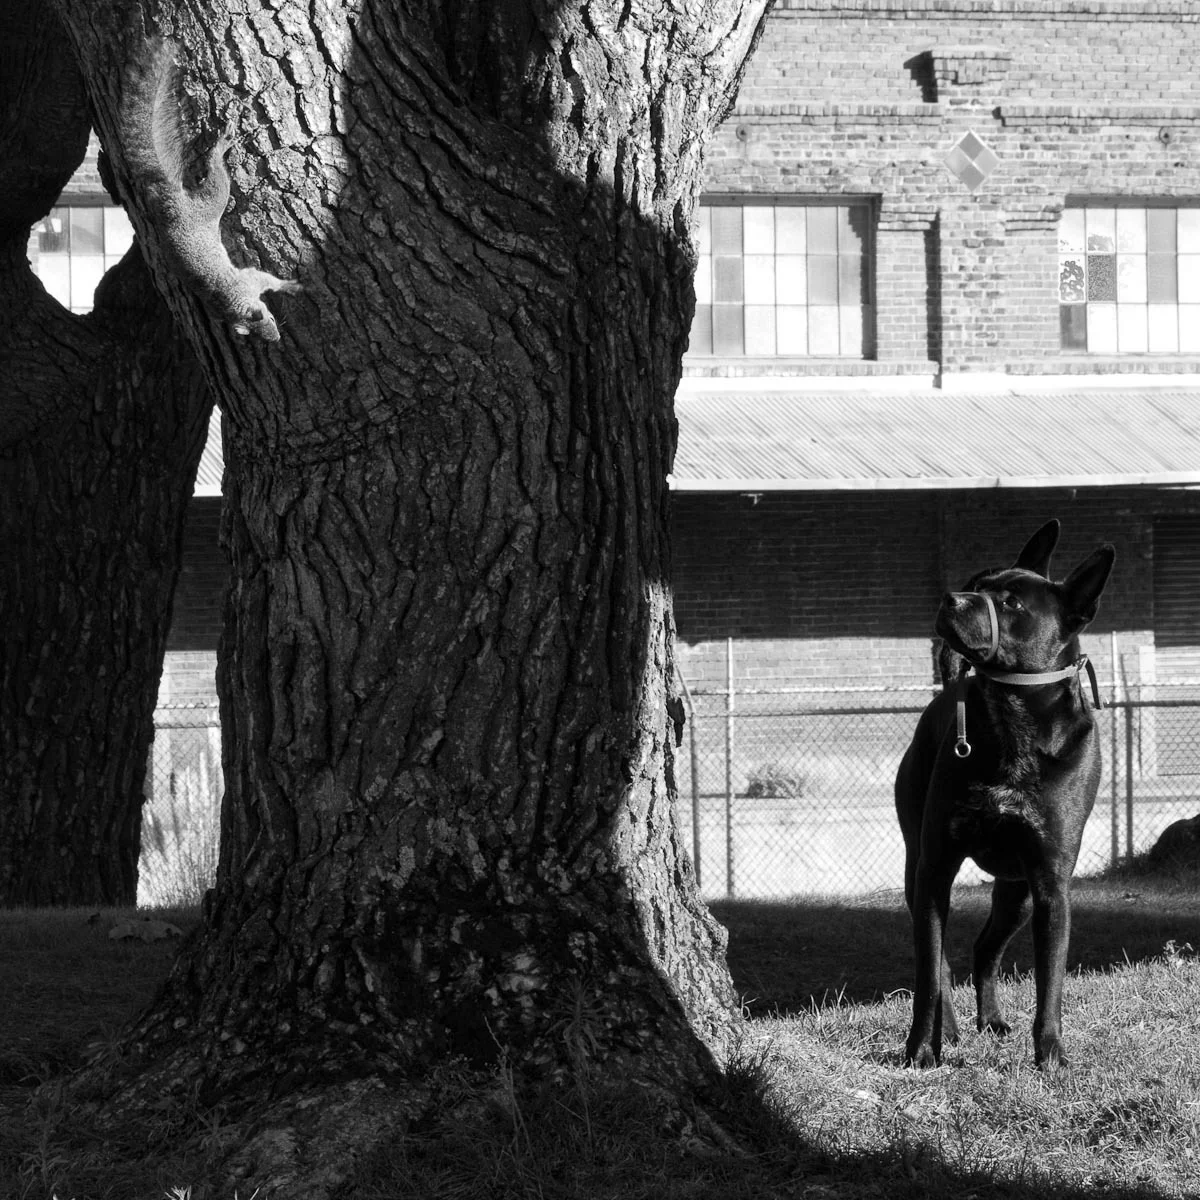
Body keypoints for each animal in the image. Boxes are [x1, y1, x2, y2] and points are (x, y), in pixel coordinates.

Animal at [115, 37, 300, 342]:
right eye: (264, 328)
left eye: (272, 320)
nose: (277, 339)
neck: (230, 302)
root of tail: (173, 203)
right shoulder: (248, 281)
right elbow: (266, 279)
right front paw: (292, 286)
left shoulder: (248, 283)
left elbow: (269, 281)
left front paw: (290, 286)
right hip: (213, 198)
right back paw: (220, 147)